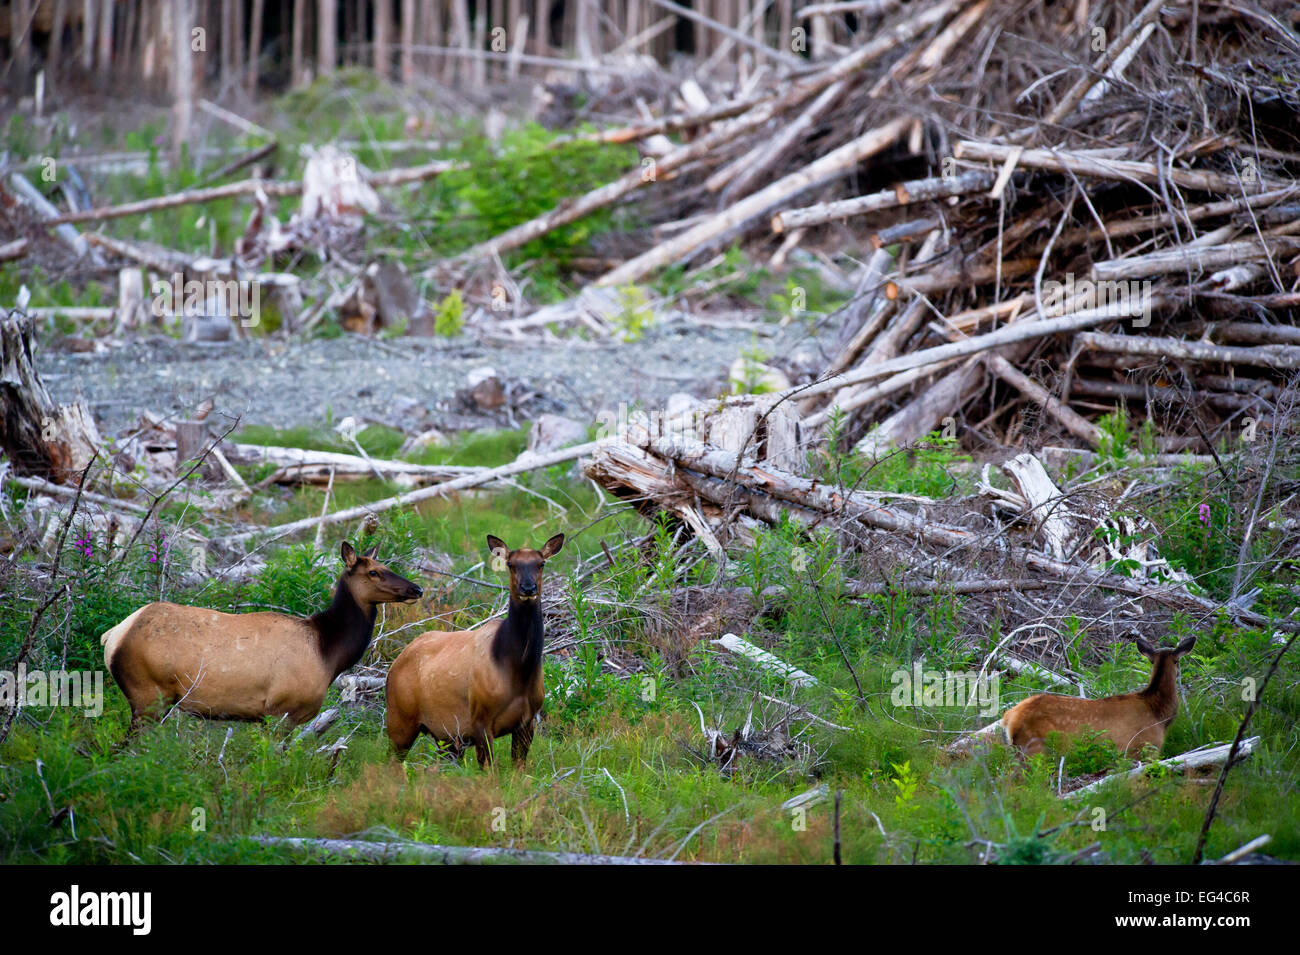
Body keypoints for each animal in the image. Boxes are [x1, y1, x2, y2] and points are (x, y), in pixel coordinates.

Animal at [100, 540, 418, 738]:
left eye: (387, 567)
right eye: (374, 572)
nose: (417, 589)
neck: (328, 652)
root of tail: (112, 636)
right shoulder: (282, 710)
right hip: (147, 694)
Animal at [387, 530, 566, 769]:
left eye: (541, 563)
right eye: (511, 564)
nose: (528, 588)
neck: (519, 669)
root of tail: (393, 666)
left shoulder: (527, 723)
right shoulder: (480, 720)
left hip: (446, 737)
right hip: (399, 721)